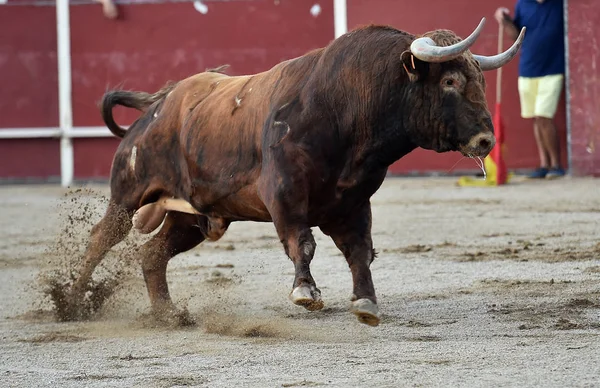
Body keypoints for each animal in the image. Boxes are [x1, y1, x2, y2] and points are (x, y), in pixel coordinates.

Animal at [65, 19, 524, 328]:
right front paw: (306, 291)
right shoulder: (284, 194)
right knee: (101, 238)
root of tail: (158, 105)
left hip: (192, 216)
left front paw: (366, 303)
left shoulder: (353, 203)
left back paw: (169, 314)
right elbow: (302, 242)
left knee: (152, 254)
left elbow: (360, 251)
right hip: (129, 192)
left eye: (481, 81)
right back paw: (71, 302)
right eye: (449, 81)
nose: (486, 139)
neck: (347, 106)